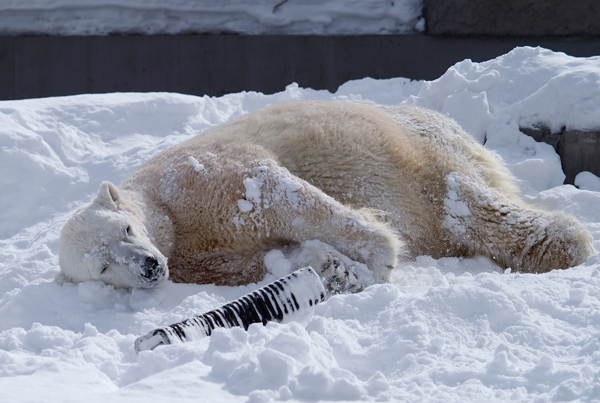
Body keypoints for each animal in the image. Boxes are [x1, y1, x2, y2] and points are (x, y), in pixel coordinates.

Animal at [58, 100, 592, 292]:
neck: (169, 216)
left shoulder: (199, 177)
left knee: (465, 204)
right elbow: (253, 261)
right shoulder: (197, 260)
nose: (150, 267)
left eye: (127, 228)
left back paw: (565, 242)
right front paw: (333, 269)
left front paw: (378, 256)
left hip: (422, 152)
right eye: (102, 266)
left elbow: (276, 194)